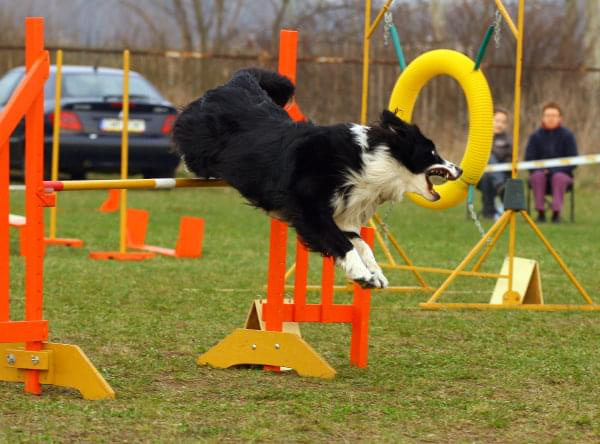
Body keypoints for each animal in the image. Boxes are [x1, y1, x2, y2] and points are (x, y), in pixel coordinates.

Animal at [171, 66, 462, 288]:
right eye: (432, 152)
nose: (459, 170)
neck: (370, 164)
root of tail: (237, 82)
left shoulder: (342, 213)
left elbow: (362, 244)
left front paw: (376, 273)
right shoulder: (308, 207)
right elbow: (341, 243)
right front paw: (362, 275)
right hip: (201, 142)